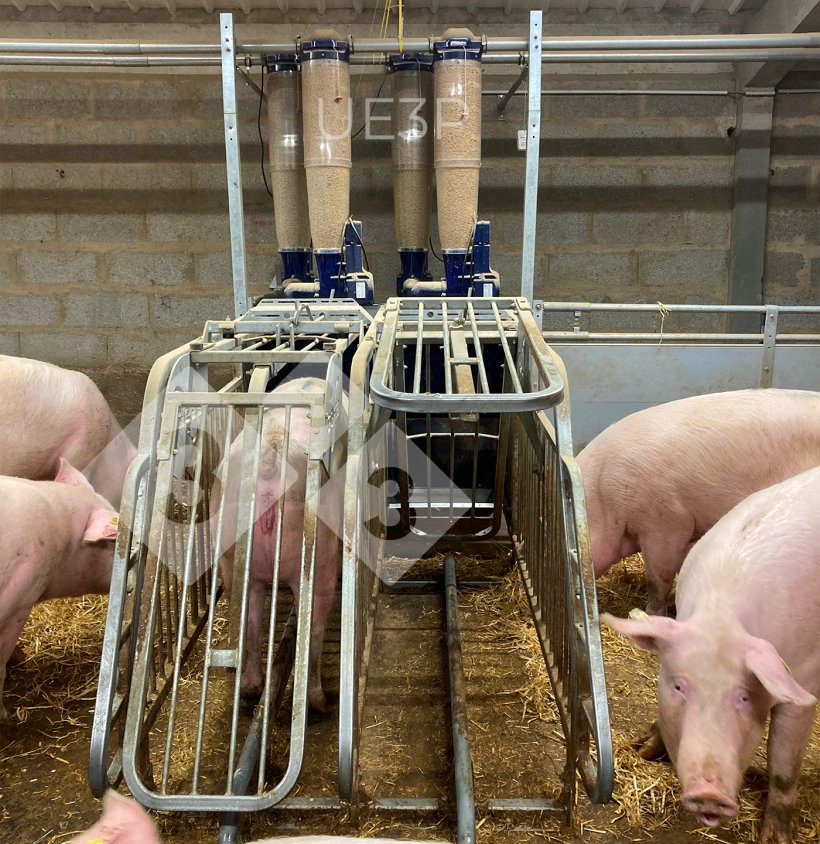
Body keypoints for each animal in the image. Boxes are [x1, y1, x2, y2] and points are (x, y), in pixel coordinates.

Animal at [213, 378, 344, 712]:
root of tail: (270, 459)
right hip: (319, 558)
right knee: (314, 626)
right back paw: (317, 702)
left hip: (233, 559)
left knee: (249, 618)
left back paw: (250, 691)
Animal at [604, 464, 820, 844]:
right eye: (678, 686)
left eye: (744, 696)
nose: (709, 795)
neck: (721, 614)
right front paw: (641, 749)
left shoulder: (804, 675)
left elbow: (783, 764)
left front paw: (774, 838)